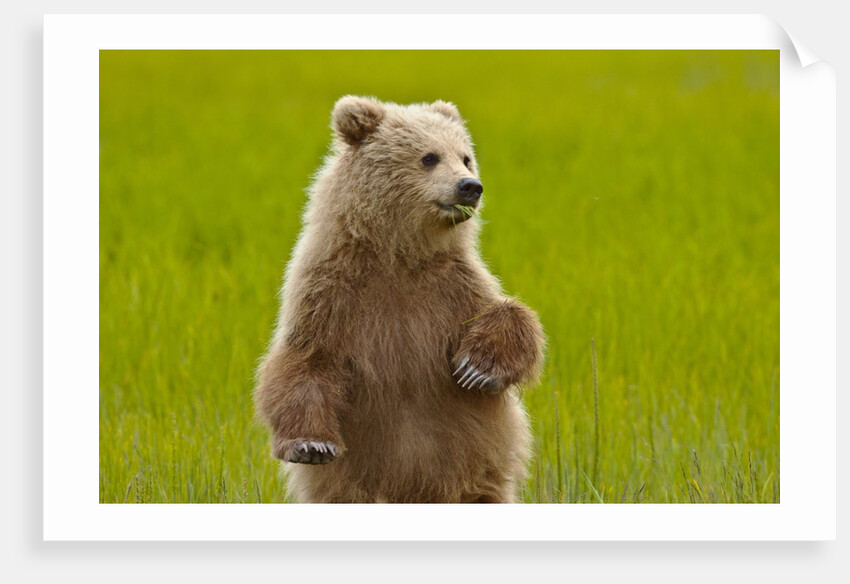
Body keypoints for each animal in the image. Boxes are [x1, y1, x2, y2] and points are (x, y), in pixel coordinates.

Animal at [254, 95, 545, 503]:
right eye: (429, 157)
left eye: (466, 157)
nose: (470, 186)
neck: (397, 255)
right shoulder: (330, 292)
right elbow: (305, 360)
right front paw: (311, 444)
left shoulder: (451, 286)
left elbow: (509, 315)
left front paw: (477, 367)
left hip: (475, 469)